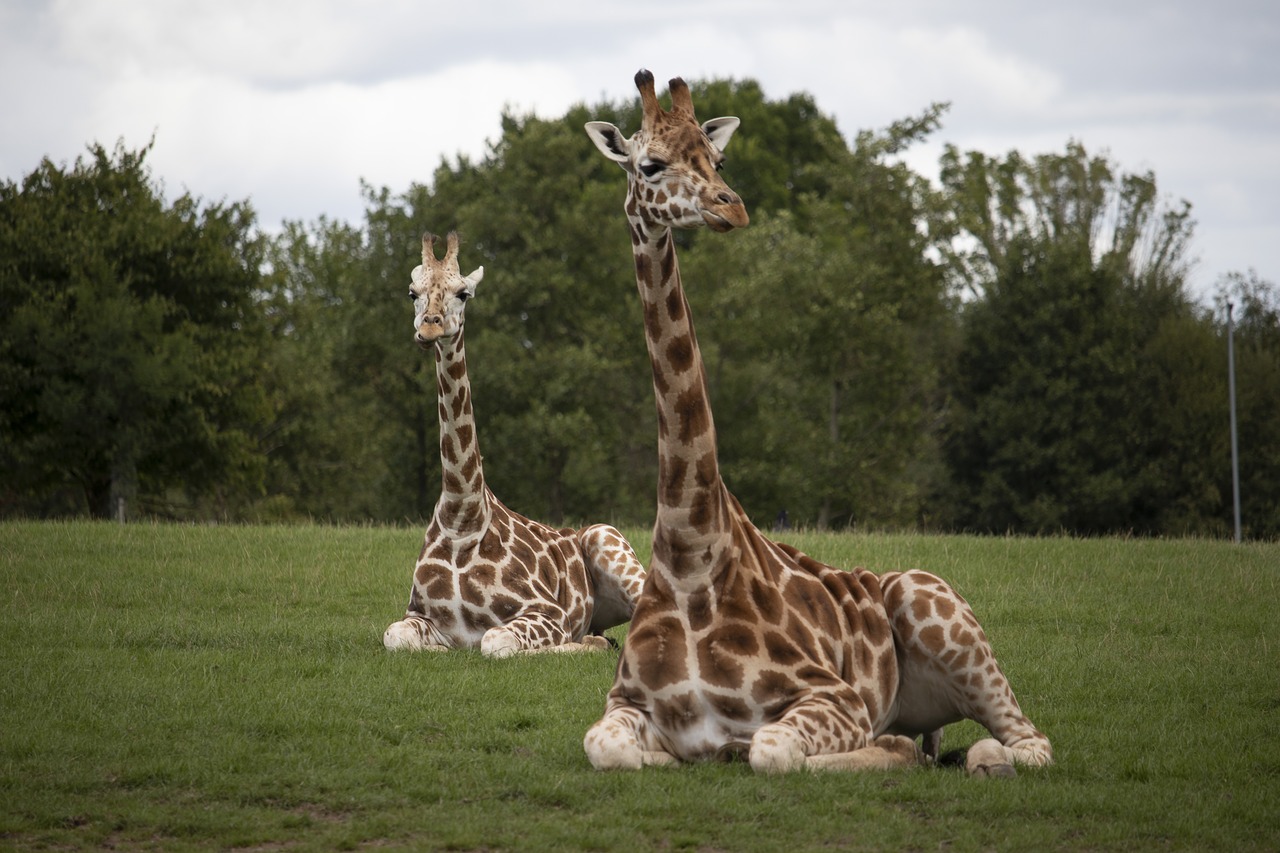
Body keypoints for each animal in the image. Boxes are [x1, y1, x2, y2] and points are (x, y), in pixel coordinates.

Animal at [376, 230, 640, 655]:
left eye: (464, 293)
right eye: (412, 291)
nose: (430, 329)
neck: (461, 516)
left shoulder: (548, 613)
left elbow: (495, 641)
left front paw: (577, 645)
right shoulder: (419, 615)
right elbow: (395, 635)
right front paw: (438, 649)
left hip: (608, 538)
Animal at [581, 73, 1049, 773]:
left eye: (717, 160)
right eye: (650, 164)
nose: (732, 208)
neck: (690, 559)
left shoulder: (834, 697)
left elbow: (771, 750)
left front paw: (872, 748)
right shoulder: (626, 704)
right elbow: (607, 746)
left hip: (934, 602)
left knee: (1030, 744)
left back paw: (971, 753)